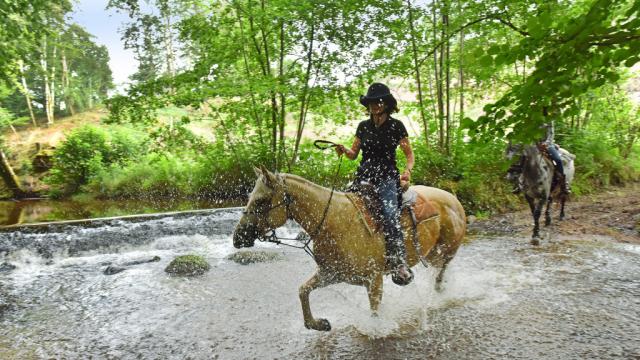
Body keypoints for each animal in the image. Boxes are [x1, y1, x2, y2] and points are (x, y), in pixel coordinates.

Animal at [230, 167, 464, 330]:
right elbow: (303, 290)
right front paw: (319, 324)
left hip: (446, 250)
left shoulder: (374, 280)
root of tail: (453, 198)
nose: (237, 237)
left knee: (442, 270)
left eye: (261, 201)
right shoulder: (332, 273)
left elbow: (374, 313)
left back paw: (439, 291)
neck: (334, 221)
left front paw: (376, 330)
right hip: (432, 253)